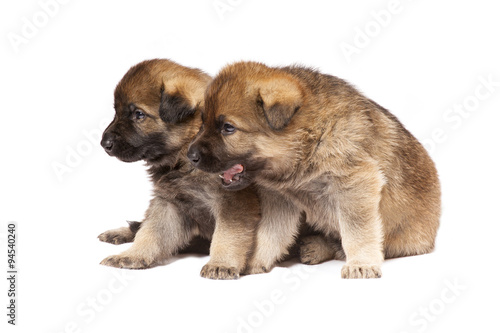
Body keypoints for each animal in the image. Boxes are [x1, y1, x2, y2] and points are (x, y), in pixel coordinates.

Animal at [98, 59, 262, 278]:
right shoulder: (169, 202)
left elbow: (227, 235)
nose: (104, 143)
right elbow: (150, 231)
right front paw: (132, 255)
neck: (184, 153)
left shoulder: (233, 203)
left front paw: (221, 264)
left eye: (139, 115)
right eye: (116, 112)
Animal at [188, 61, 442, 278]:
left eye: (228, 128)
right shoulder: (279, 200)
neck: (310, 139)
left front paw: (361, 264)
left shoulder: (356, 185)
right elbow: (269, 235)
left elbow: (357, 232)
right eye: (203, 123)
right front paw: (252, 262)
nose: (190, 156)